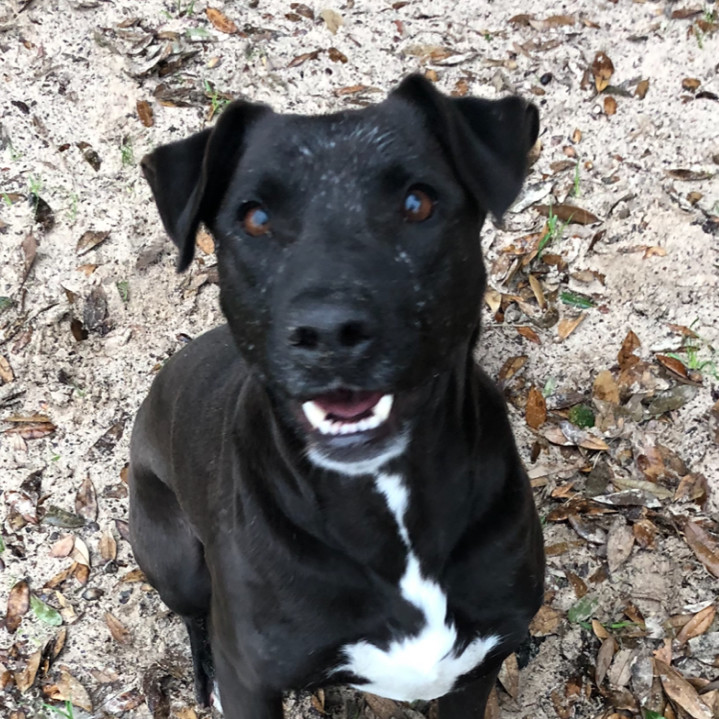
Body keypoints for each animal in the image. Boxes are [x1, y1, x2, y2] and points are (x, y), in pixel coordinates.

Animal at [129, 74, 544, 719]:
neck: (383, 501)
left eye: (417, 203)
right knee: (194, 613)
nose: (328, 332)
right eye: (255, 218)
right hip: (175, 557)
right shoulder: (252, 681)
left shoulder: (474, 671)